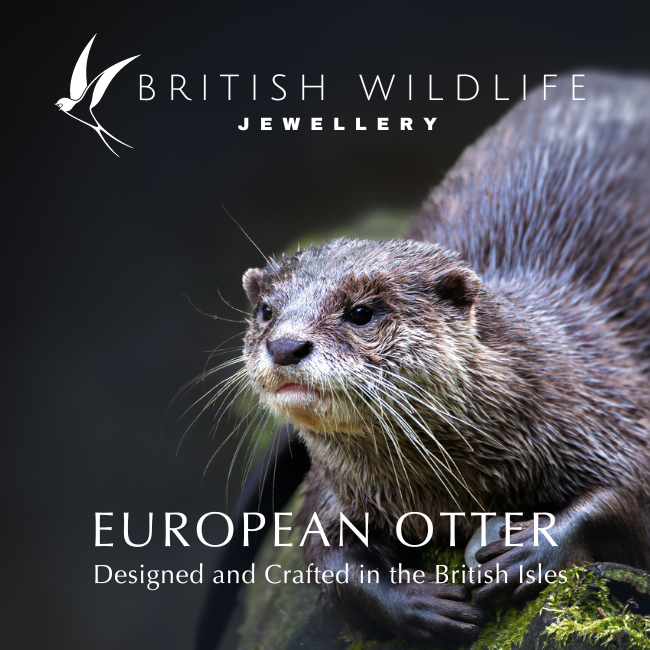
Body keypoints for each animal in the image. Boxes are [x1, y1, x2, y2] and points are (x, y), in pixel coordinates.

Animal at [237, 73, 650, 645]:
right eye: (266, 311)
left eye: (361, 312)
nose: (284, 345)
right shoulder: (333, 488)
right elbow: (327, 557)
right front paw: (416, 602)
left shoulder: (608, 401)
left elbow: (629, 496)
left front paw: (531, 551)